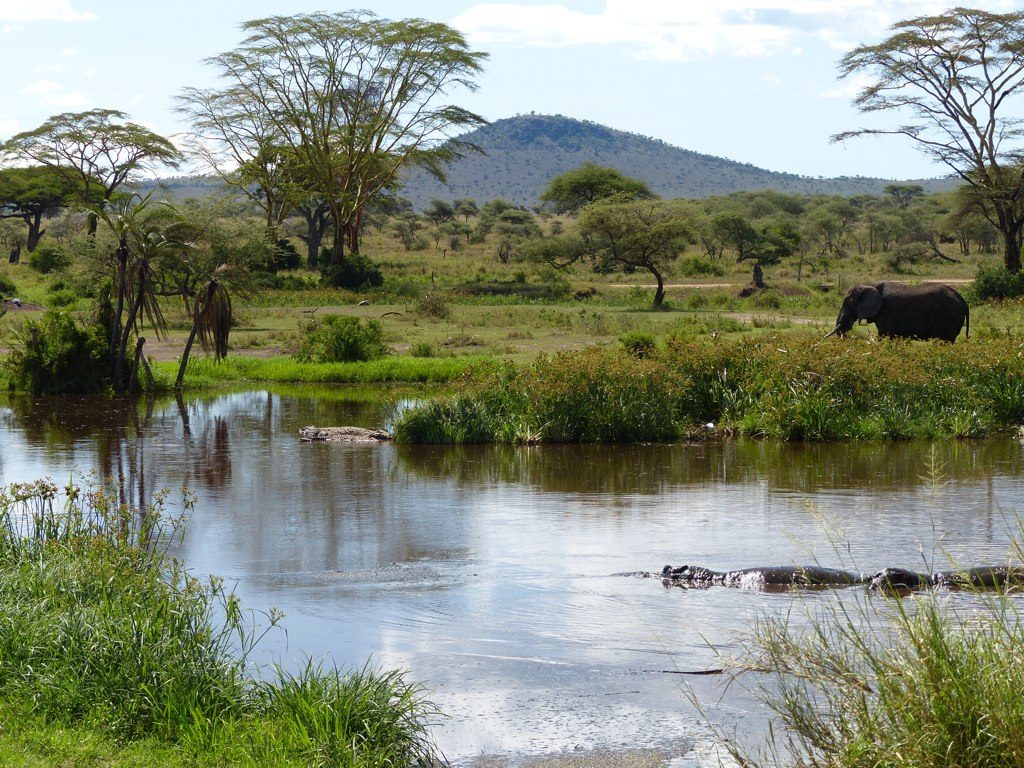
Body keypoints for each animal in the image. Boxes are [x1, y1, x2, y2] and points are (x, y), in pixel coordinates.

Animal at [823, 282, 966, 342]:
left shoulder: (887, 312)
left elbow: (884, 335)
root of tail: (962, 299)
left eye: (848, 303)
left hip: (949, 317)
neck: (869, 285)